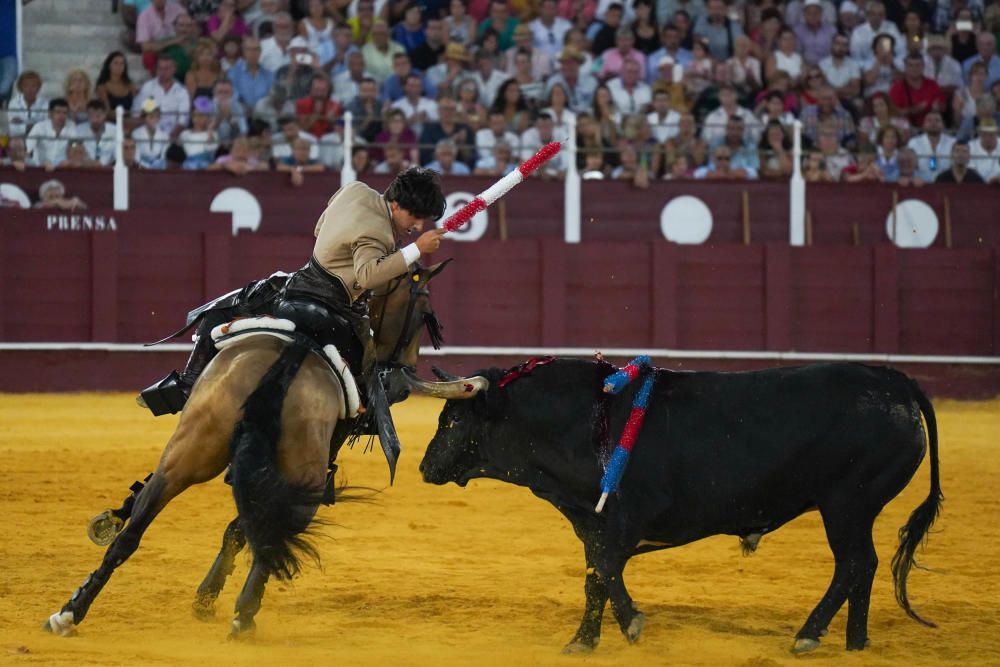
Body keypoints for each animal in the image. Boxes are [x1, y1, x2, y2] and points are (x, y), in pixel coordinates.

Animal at [44, 260, 468, 636]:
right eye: (425, 312)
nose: (397, 385)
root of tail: (288, 360)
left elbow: (231, 528)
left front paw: (203, 598)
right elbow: (240, 529)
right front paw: (207, 599)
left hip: (189, 452)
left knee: (135, 531)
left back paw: (69, 613)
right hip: (305, 480)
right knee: (265, 536)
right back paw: (243, 617)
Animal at [418, 362, 940, 656]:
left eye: (453, 419)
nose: (424, 466)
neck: (582, 420)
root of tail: (893, 381)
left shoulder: (619, 521)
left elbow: (602, 571)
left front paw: (627, 626)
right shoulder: (592, 522)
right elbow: (595, 576)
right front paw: (585, 640)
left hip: (847, 503)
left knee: (853, 563)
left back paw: (809, 635)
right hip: (857, 509)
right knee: (864, 565)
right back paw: (855, 641)